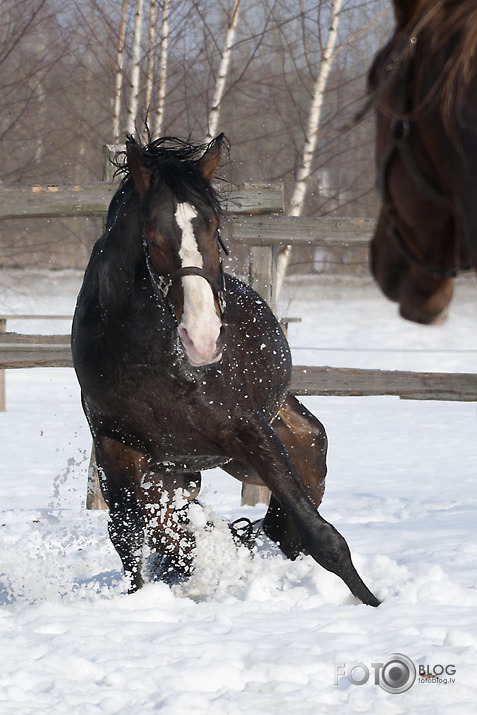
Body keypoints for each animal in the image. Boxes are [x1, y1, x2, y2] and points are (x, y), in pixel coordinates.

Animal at [70, 133, 380, 604]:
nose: (203, 337)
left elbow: (324, 537)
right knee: (183, 540)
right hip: (172, 477)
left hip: (291, 451)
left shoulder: (250, 431)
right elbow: (128, 538)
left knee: (288, 531)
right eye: (151, 234)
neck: (151, 357)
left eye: (214, 226)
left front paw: (376, 606)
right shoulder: (116, 446)